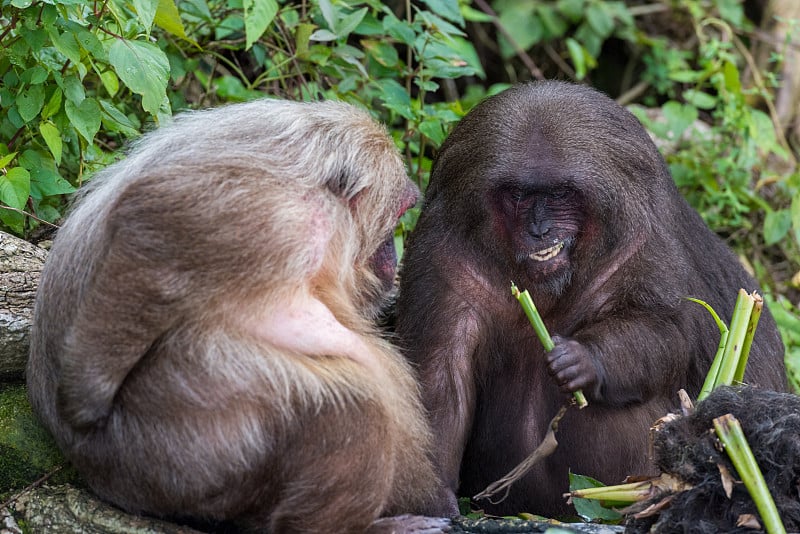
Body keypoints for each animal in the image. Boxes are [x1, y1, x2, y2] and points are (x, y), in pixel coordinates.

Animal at [26, 99, 450, 532]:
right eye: (397, 218)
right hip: (181, 447)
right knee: (354, 407)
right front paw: (83, 406)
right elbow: (147, 217)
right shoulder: (281, 215)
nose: (392, 258)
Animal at [396, 80, 784, 520]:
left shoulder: (641, 242)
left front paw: (583, 360)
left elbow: (663, 333)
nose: (540, 229)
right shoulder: (443, 254)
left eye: (561, 193)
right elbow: (440, 374)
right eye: (518, 195)